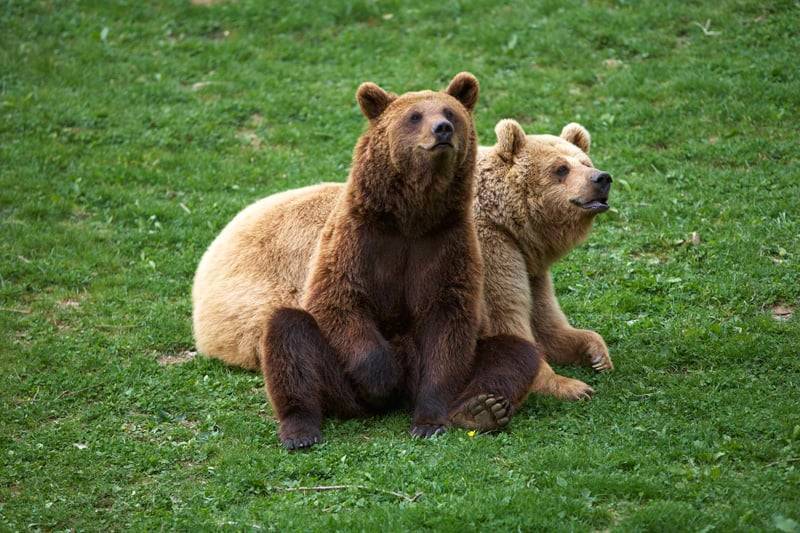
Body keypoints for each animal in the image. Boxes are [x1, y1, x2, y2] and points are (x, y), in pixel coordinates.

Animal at [194, 119, 612, 412]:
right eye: (560, 169)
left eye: (586, 161)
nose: (601, 179)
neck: (509, 223)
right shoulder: (487, 251)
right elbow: (508, 318)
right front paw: (569, 386)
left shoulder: (529, 264)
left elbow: (546, 321)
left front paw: (595, 355)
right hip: (260, 293)